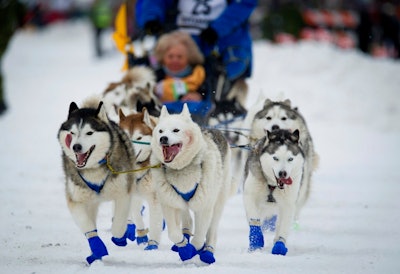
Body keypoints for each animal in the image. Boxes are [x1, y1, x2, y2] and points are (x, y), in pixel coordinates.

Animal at [57, 99, 136, 264]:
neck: (93, 168)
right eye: (72, 133)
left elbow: (119, 221)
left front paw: (120, 237)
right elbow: (87, 225)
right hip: (91, 202)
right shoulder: (75, 200)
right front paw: (97, 247)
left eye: (89, 133)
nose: (76, 147)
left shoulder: (123, 194)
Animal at [118, 107, 163, 250]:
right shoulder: (132, 194)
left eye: (139, 137)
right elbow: (137, 216)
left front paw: (152, 243)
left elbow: (155, 222)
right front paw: (142, 236)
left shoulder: (155, 198)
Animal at [150, 104, 234, 264]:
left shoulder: (204, 206)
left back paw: (208, 251)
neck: (182, 169)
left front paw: (194, 250)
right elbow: (173, 234)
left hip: (218, 200)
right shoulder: (169, 204)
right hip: (179, 201)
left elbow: (199, 239)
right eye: (160, 131)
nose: (163, 138)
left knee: (212, 229)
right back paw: (185, 236)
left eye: (176, 130)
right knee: (187, 220)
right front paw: (183, 246)